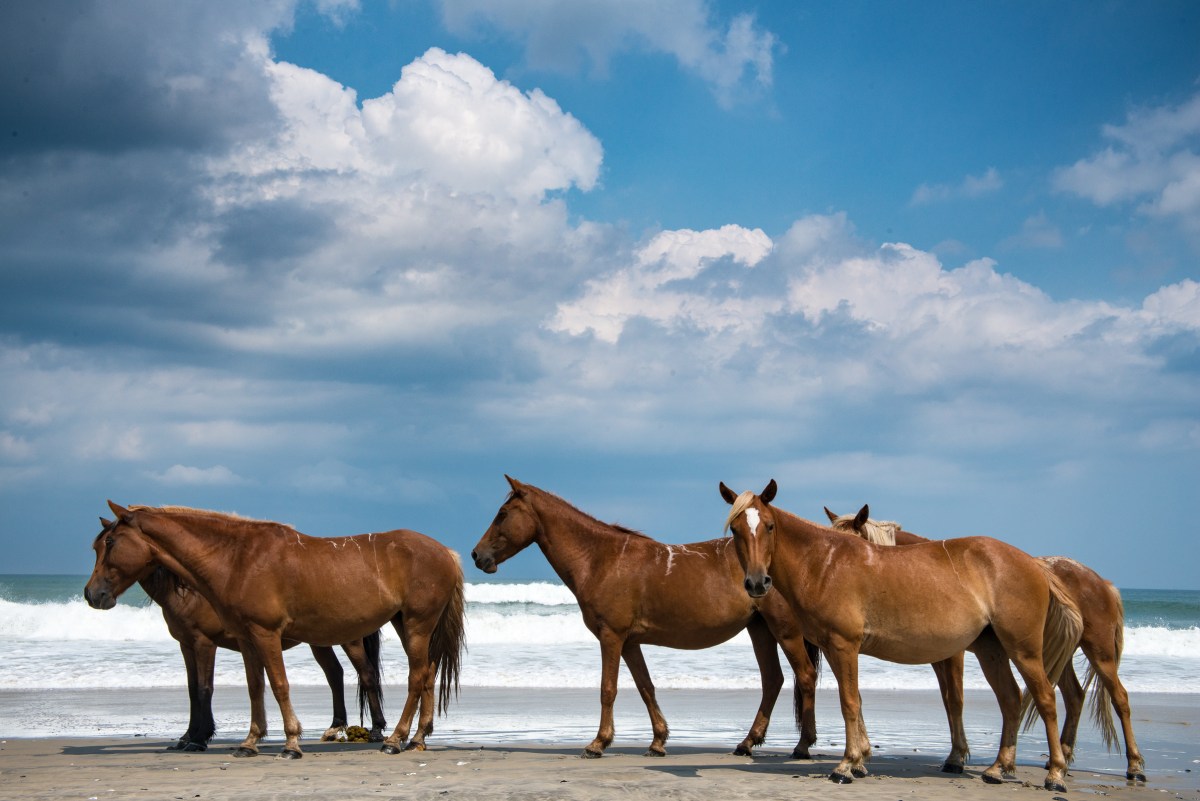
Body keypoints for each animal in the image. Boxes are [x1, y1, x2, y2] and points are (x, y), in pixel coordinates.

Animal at [138, 563, 386, 753]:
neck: (189, 593)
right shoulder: (187, 646)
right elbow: (192, 691)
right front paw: (187, 737)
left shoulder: (204, 644)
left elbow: (204, 689)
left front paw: (199, 738)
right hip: (320, 641)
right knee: (335, 673)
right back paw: (335, 727)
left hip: (350, 641)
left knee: (366, 674)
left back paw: (376, 729)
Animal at [468, 479, 825, 762]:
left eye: (502, 514)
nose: (476, 555)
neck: (601, 559)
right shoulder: (630, 642)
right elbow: (646, 687)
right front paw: (658, 741)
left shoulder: (611, 636)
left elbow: (608, 689)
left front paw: (598, 743)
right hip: (759, 629)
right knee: (772, 680)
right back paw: (747, 743)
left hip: (783, 630)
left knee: (805, 676)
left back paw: (802, 746)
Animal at [720, 479, 1089, 791]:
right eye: (736, 530)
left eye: (769, 526)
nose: (757, 583)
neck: (824, 563)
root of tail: (1032, 562)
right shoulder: (840, 649)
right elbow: (856, 700)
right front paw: (859, 760)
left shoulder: (844, 645)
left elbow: (849, 702)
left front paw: (845, 766)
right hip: (991, 650)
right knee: (1010, 698)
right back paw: (998, 769)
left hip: (1023, 649)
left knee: (1045, 698)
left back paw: (1056, 774)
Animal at [825, 506, 1142, 781]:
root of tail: (1101, 582)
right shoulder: (938, 657)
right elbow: (946, 700)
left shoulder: (953, 655)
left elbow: (955, 700)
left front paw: (956, 757)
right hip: (1055, 655)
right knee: (1074, 696)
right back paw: (1059, 757)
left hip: (1098, 653)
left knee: (1120, 698)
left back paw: (1133, 765)